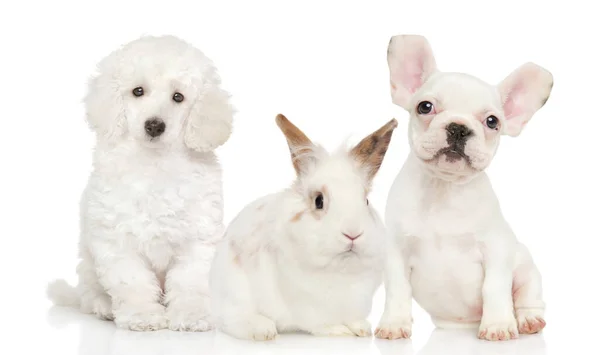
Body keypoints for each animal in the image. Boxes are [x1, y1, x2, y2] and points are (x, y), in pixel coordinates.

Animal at [210, 114, 398, 342]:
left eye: (366, 201)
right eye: (319, 201)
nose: (353, 234)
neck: (340, 268)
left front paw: (362, 328)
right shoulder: (307, 302)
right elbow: (321, 323)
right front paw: (339, 331)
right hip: (236, 292)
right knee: (232, 319)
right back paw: (264, 330)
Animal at [376, 34, 552, 342]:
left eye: (492, 122)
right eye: (424, 107)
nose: (458, 127)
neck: (444, 188)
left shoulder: (497, 250)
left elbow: (494, 288)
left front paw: (498, 325)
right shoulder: (396, 251)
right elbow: (397, 289)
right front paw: (395, 323)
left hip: (526, 265)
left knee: (529, 295)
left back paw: (527, 319)